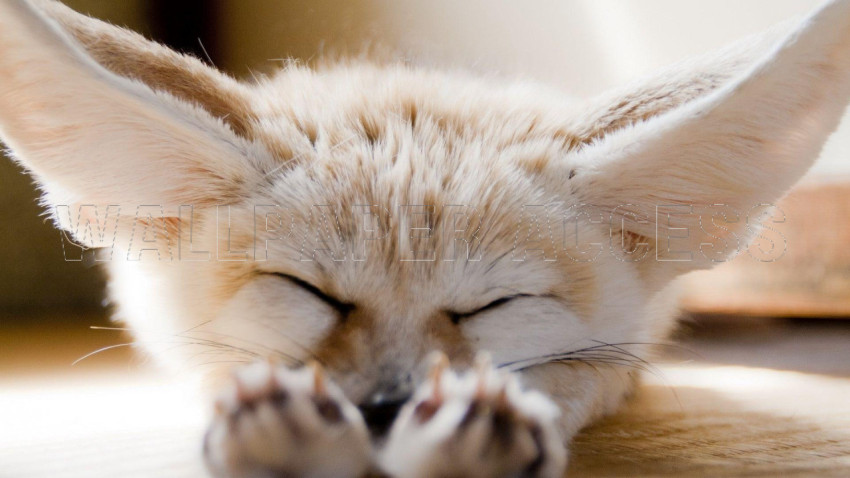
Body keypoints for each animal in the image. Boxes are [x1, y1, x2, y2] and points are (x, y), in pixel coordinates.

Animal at [2, 0, 850, 476]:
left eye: (492, 305)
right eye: (310, 293)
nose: (385, 408)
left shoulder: (623, 351)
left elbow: (568, 377)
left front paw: (480, 430)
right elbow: (221, 366)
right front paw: (281, 431)